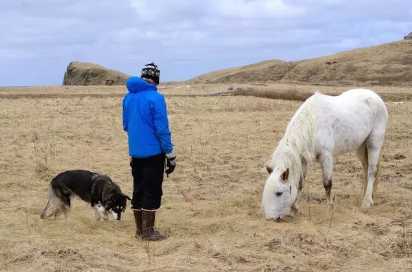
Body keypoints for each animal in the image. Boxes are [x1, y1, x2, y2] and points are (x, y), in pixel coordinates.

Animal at [262, 88, 388, 220]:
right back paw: (366, 196)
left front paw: (330, 207)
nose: (270, 218)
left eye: (279, 193)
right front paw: (295, 208)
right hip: (361, 147)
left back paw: (367, 202)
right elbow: (300, 183)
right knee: (366, 169)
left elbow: (327, 183)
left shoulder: (326, 157)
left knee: (371, 171)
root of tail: (375, 96)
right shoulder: (303, 159)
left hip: (374, 143)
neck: (312, 123)